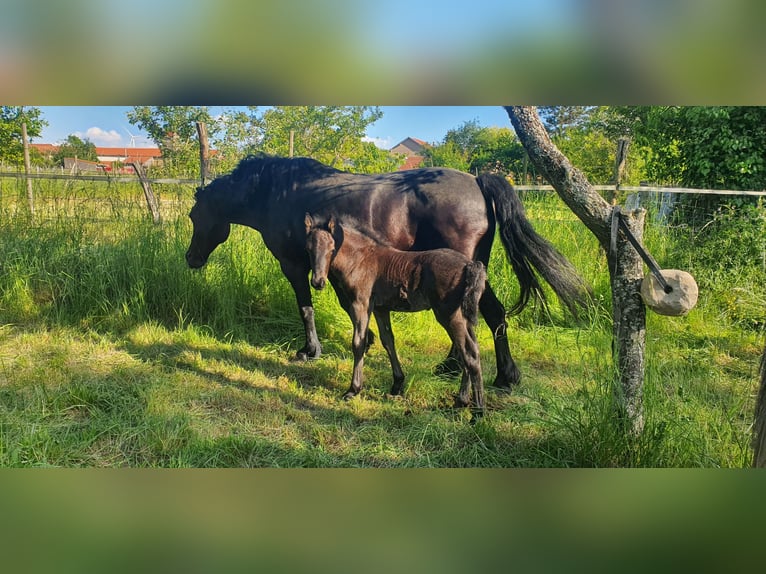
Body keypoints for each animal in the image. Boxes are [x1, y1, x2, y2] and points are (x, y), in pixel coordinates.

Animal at [186, 154, 590, 389]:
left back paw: (499, 375)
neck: (275, 191)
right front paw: (368, 343)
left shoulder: (294, 266)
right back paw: (462, 368)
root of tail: (477, 181)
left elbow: (306, 308)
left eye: (193, 215)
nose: (191, 259)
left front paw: (309, 350)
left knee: (490, 314)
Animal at [304, 213, 487, 417]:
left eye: (331, 249)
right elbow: (388, 341)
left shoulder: (361, 304)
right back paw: (461, 401)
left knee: (468, 354)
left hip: (449, 316)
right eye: (308, 249)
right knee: (471, 350)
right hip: (462, 316)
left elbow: (359, 343)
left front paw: (353, 389)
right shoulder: (380, 309)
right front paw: (397, 384)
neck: (360, 259)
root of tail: (469, 264)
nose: (318, 282)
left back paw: (478, 410)